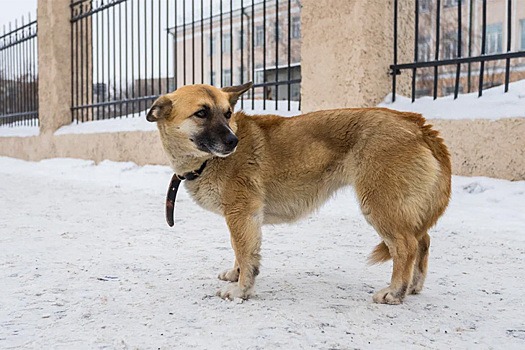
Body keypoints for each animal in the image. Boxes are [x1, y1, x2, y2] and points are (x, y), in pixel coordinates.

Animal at [146, 82, 450, 304]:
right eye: (201, 113)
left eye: (227, 114)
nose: (234, 141)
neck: (207, 161)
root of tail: (414, 121)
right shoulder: (243, 218)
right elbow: (240, 251)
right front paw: (236, 274)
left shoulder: (241, 214)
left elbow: (244, 253)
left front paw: (241, 290)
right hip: (401, 208)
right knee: (423, 241)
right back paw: (413, 286)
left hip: (380, 206)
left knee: (406, 247)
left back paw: (396, 292)